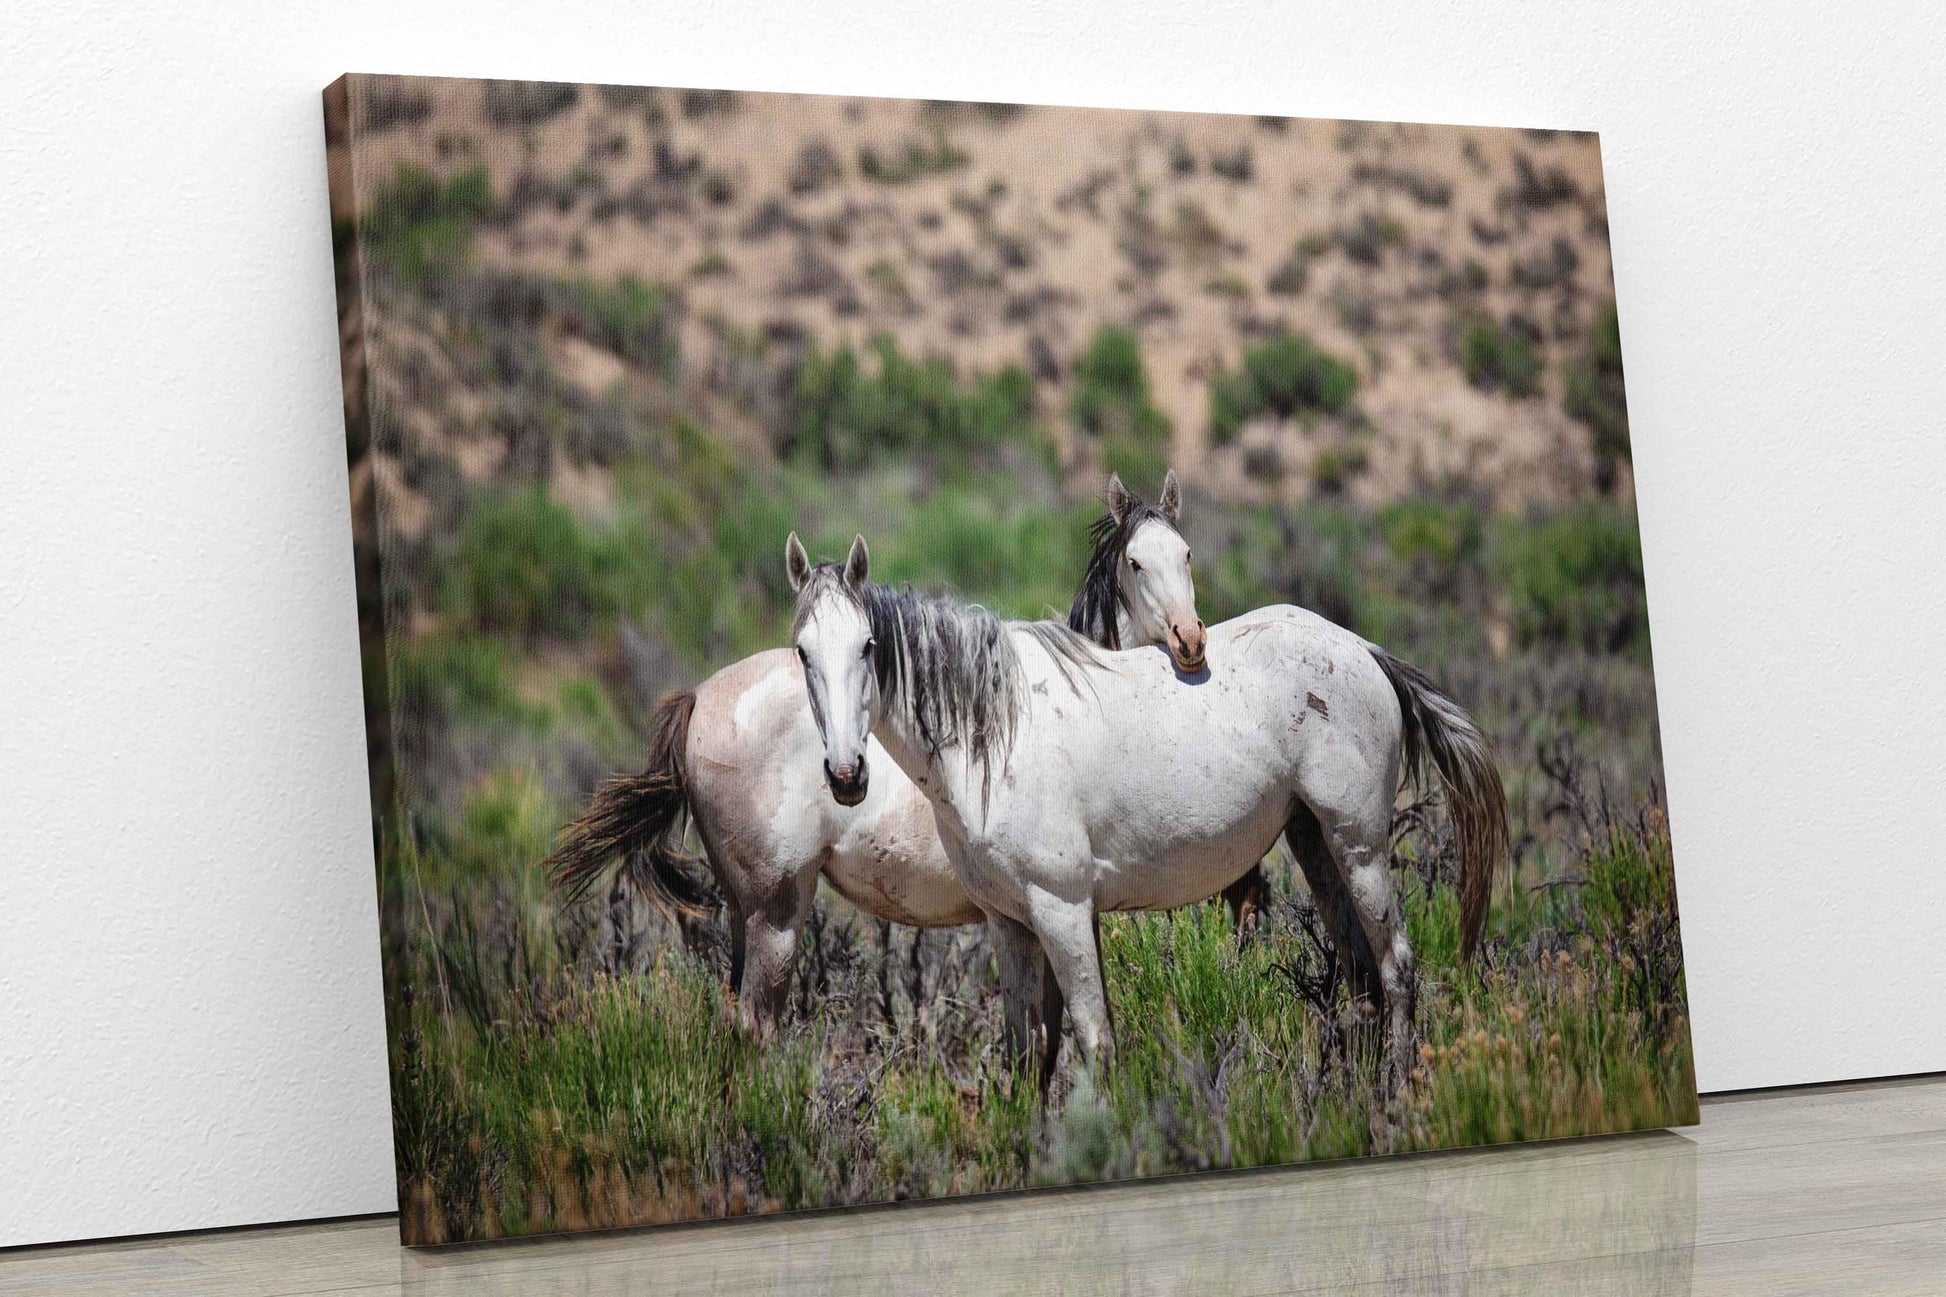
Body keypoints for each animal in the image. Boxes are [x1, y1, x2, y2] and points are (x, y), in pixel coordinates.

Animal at [548, 469, 1206, 1036]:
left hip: (741, 911)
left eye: (1186, 554)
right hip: (775, 916)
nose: (1190, 641)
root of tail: (697, 699)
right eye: (1135, 562)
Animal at [790, 529, 1502, 1074]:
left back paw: (1397, 1089)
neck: (996, 733)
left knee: (1398, 967)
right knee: (1362, 975)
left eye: (868, 647)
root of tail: (1363, 649)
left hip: (1360, 845)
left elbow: (1095, 1041)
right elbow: (1027, 1053)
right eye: (801, 653)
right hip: (1315, 844)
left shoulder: (1064, 912)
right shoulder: (1008, 923)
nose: (847, 775)